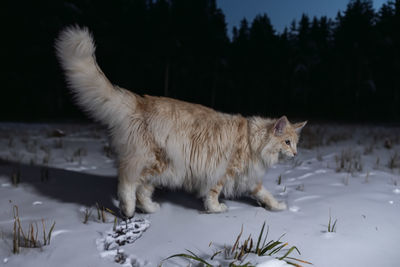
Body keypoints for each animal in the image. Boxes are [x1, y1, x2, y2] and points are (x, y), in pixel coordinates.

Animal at [55, 26, 306, 220]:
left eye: (295, 143)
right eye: (287, 142)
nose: (295, 154)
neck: (252, 140)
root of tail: (139, 101)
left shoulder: (249, 178)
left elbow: (265, 194)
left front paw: (278, 207)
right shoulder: (222, 170)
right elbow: (213, 193)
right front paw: (216, 209)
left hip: (162, 166)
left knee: (142, 190)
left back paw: (150, 209)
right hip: (150, 159)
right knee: (127, 181)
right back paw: (127, 210)